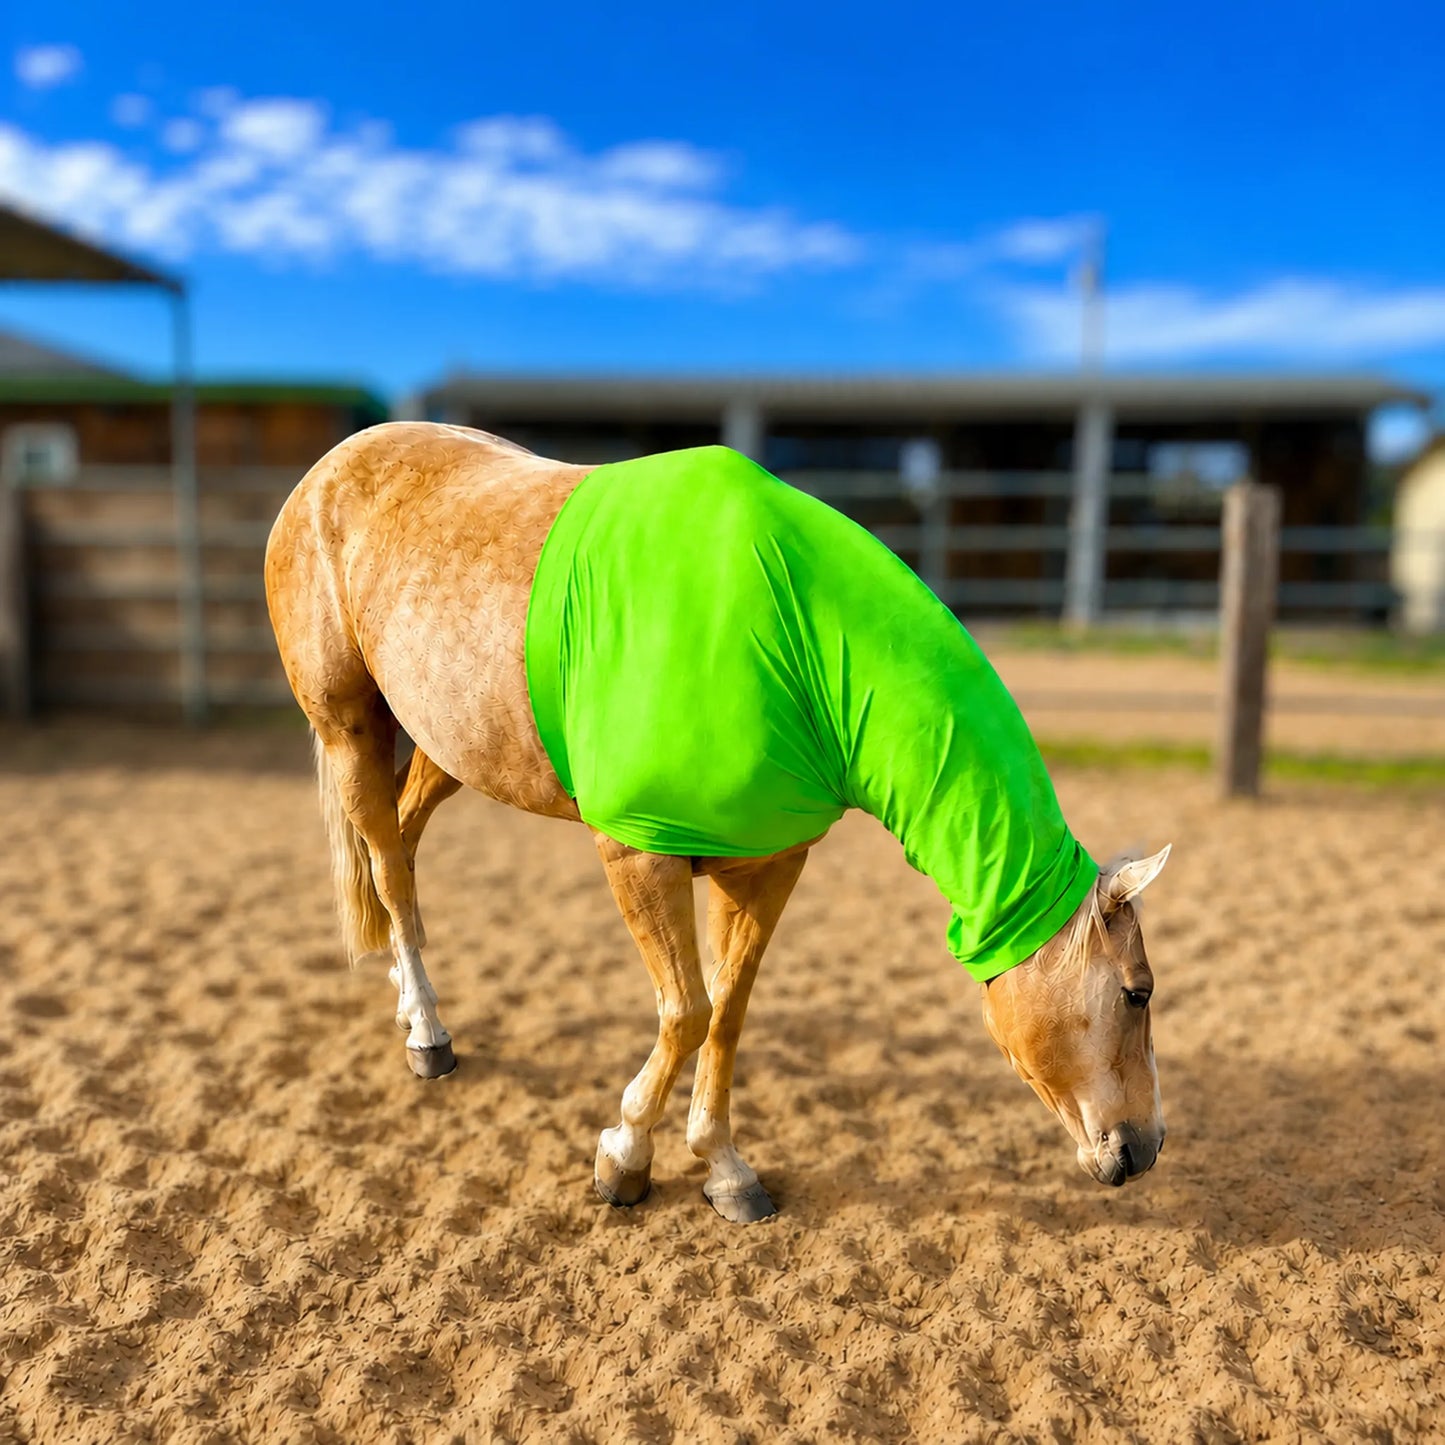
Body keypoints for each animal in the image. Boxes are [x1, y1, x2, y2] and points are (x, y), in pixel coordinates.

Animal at [264, 421, 1170, 1224]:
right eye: (1137, 992)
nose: (1145, 1148)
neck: (793, 636)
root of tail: (328, 471)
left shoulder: (764, 865)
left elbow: (726, 1014)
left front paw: (725, 1170)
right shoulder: (637, 853)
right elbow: (686, 1011)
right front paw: (623, 1158)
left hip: (447, 747)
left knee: (403, 849)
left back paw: (406, 999)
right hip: (349, 728)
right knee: (386, 864)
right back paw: (427, 1035)